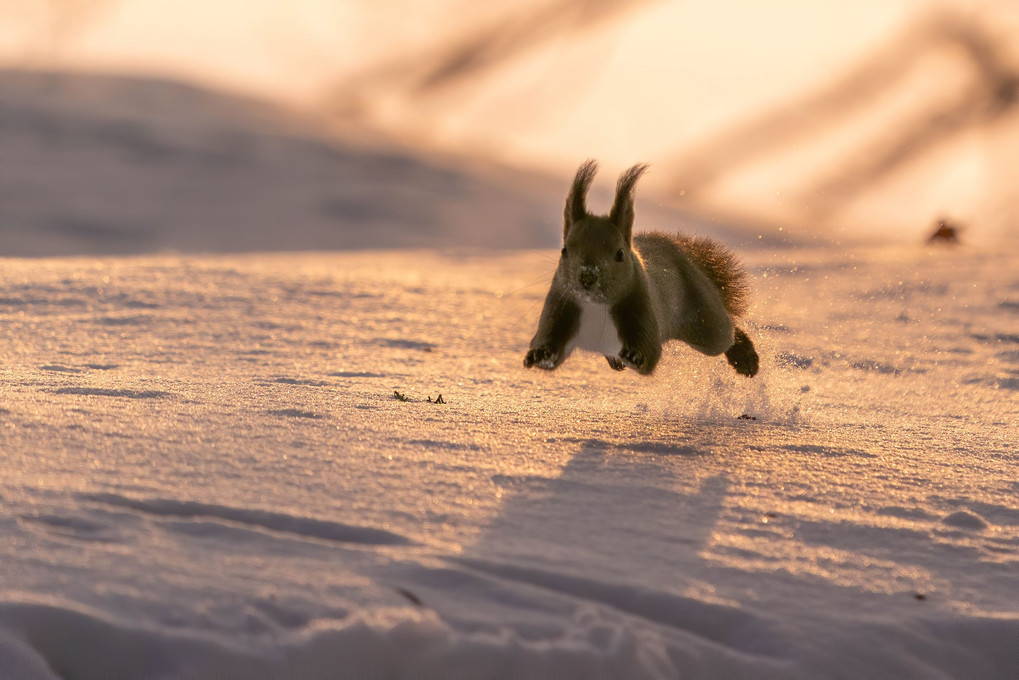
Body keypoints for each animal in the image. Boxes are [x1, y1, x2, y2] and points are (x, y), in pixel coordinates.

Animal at [525, 160, 758, 377]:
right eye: (564, 250)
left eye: (619, 254)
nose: (588, 276)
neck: (595, 306)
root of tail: (681, 251)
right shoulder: (560, 308)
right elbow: (552, 348)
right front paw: (539, 355)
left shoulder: (641, 307)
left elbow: (650, 353)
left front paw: (634, 356)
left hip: (703, 318)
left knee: (725, 334)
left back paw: (746, 359)